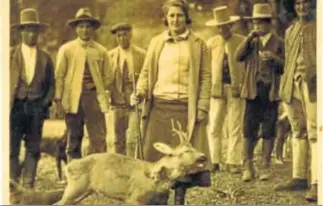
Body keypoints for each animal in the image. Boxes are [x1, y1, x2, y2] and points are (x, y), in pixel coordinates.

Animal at [54, 119, 209, 204]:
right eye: (186, 151)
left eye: (194, 148)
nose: (203, 156)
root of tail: (69, 166)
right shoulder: (134, 198)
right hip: (74, 188)